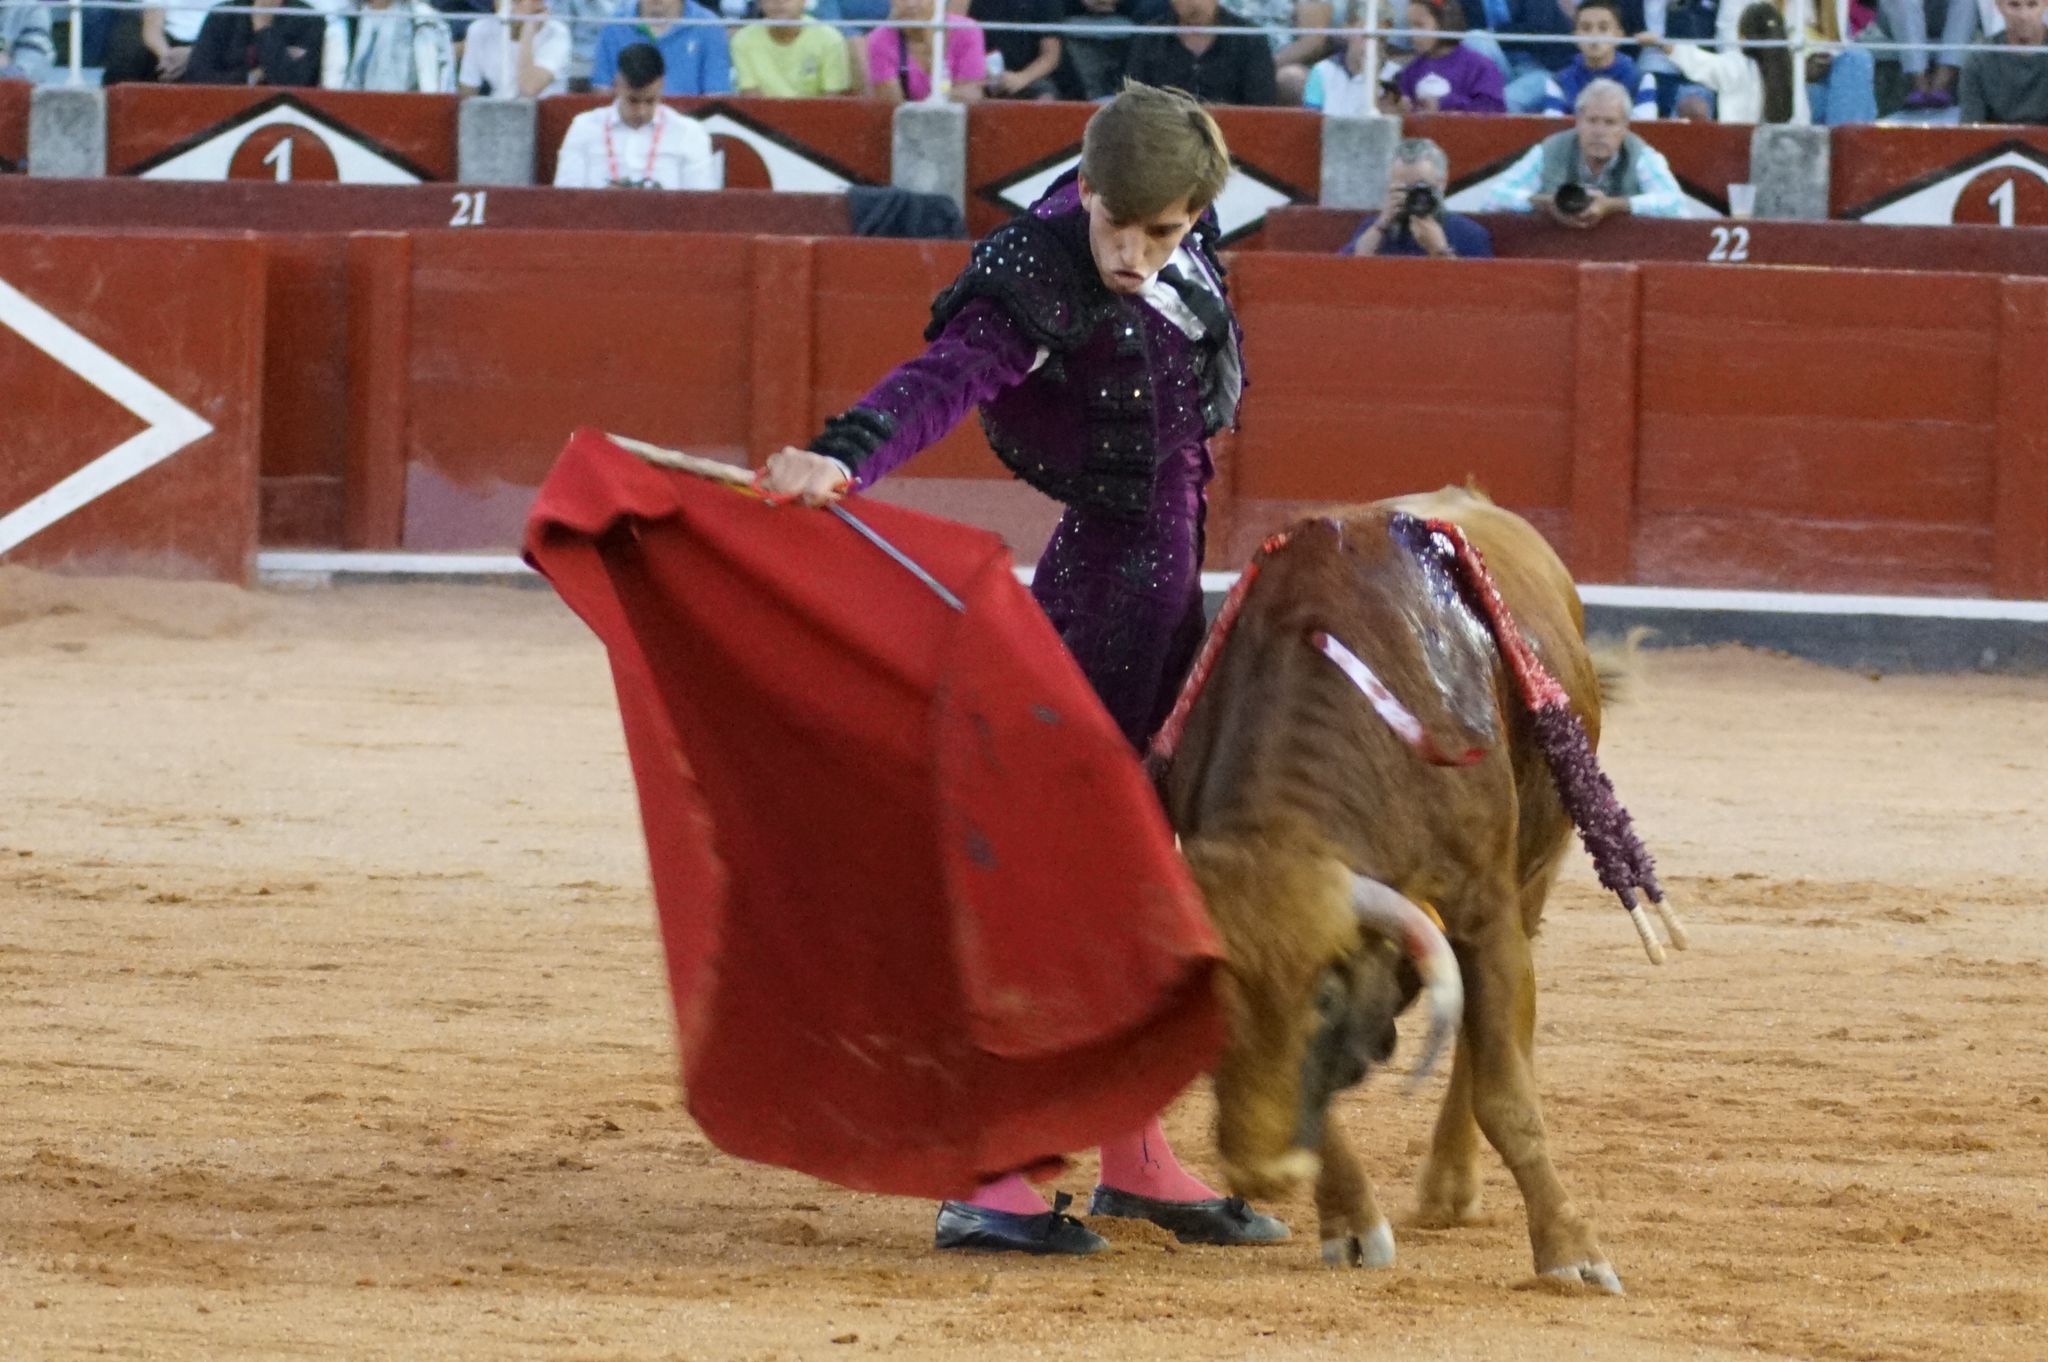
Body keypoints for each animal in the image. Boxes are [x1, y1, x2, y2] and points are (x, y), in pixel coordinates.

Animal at [1155, 483, 1662, 1294]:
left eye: (1325, 998)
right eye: (1209, 1010)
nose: (1262, 1173)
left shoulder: (1485, 911)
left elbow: (1506, 1093)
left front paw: (1571, 1252)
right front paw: (1350, 1224)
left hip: (1534, 877)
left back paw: (1450, 1190)